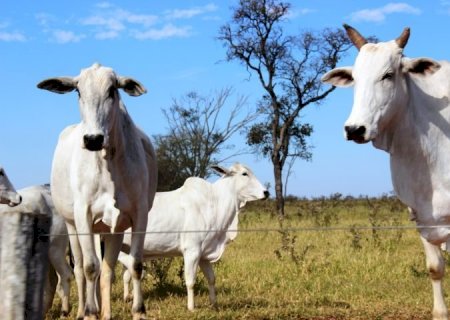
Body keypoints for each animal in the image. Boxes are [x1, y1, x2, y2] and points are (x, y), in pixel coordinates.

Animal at [38, 63, 158, 320]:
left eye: (112, 90)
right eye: (78, 91)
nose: (93, 139)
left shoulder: (138, 215)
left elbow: (135, 265)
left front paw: (138, 310)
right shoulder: (83, 214)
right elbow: (90, 267)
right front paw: (91, 312)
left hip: (111, 229)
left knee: (107, 270)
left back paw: (106, 312)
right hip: (73, 227)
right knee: (80, 269)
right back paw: (82, 310)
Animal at [118, 162, 268, 310]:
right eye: (244, 173)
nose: (266, 192)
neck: (215, 203)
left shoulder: (204, 254)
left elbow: (211, 279)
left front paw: (214, 304)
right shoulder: (192, 250)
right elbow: (190, 281)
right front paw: (191, 307)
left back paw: (127, 298)